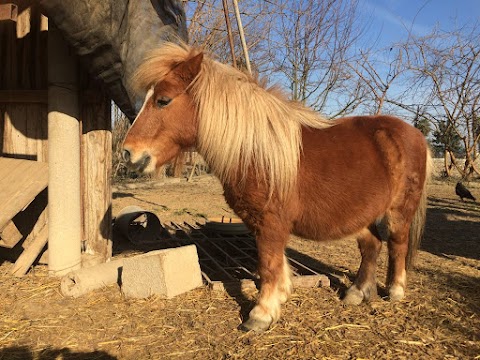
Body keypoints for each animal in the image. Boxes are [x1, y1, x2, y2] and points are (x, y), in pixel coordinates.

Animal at [123, 42, 432, 332]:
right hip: (363, 214)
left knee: (397, 245)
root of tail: (415, 135)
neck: (255, 151)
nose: (129, 153)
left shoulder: (270, 223)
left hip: (398, 213)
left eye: (163, 101)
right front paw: (281, 296)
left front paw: (261, 314)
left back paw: (395, 291)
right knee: (371, 246)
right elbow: (278, 264)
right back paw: (356, 293)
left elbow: (268, 265)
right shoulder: (265, 223)